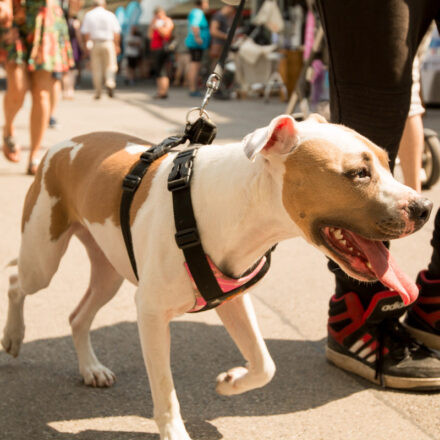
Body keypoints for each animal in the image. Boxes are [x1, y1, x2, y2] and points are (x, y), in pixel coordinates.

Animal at [0, 115, 434, 438]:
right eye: (358, 173)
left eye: (388, 162)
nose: (425, 207)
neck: (242, 204)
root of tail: (68, 143)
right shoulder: (151, 313)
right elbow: (165, 391)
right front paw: (176, 431)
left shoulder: (233, 299)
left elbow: (265, 364)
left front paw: (231, 382)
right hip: (43, 255)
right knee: (17, 281)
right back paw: (14, 337)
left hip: (108, 272)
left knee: (78, 315)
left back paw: (90, 368)